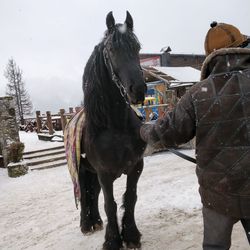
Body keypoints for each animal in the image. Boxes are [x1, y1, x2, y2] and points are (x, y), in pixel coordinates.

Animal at [80, 10, 146, 249]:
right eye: (111, 50)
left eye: (137, 48)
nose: (138, 89)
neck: (115, 127)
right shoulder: (104, 173)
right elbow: (110, 204)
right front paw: (112, 240)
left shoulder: (136, 166)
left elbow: (130, 198)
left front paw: (131, 234)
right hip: (83, 171)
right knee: (85, 195)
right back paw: (86, 225)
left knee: (93, 194)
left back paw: (97, 221)